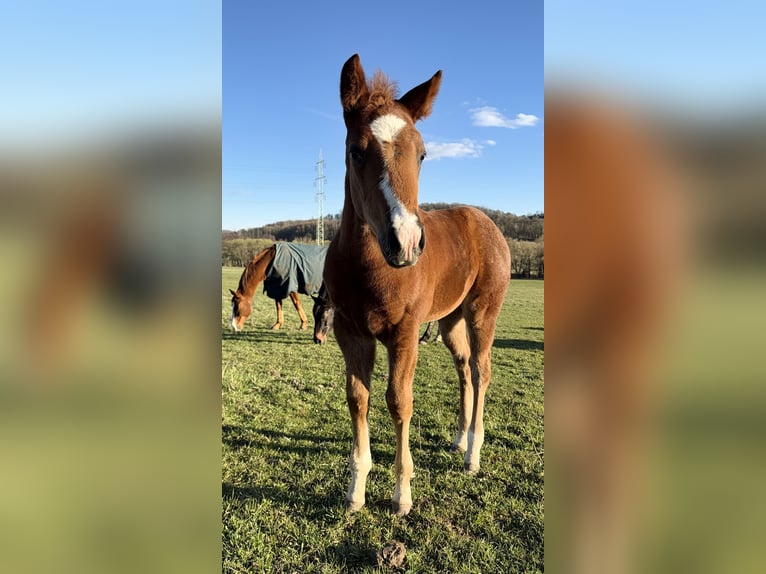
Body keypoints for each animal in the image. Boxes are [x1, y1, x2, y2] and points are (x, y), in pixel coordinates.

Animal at [324, 54, 511, 515]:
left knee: (481, 370)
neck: (370, 268)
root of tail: (485, 221)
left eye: (423, 154)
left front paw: (401, 495)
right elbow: (358, 397)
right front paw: (356, 491)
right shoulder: (350, 333)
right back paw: (460, 439)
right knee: (463, 367)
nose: (406, 241)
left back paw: (472, 454)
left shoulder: (404, 333)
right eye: (356, 152)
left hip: (482, 312)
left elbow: (398, 401)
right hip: (449, 320)